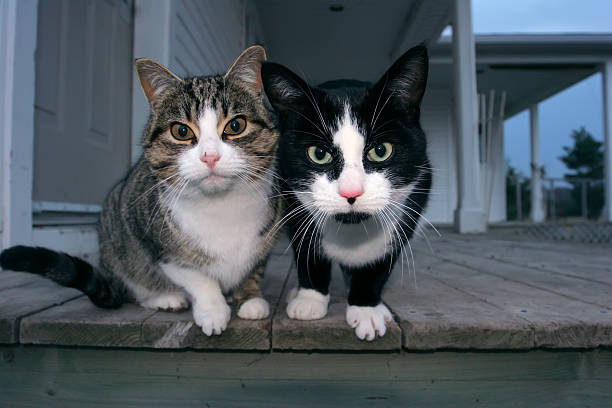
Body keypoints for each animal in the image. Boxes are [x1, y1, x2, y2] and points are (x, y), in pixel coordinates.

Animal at [0, 46, 280, 336]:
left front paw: (250, 299)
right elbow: (197, 277)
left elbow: (254, 269)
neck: (221, 207)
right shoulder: (156, 244)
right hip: (117, 239)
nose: (210, 156)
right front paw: (213, 309)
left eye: (236, 126)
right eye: (181, 131)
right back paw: (164, 298)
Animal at [260, 45, 432, 342]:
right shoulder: (290, 195)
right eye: (319, 153)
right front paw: (310, 299)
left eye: (381, 150)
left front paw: (366, 308)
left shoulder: (416, 196)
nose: (351, 192)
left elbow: (381, 259)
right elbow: (307, 247)